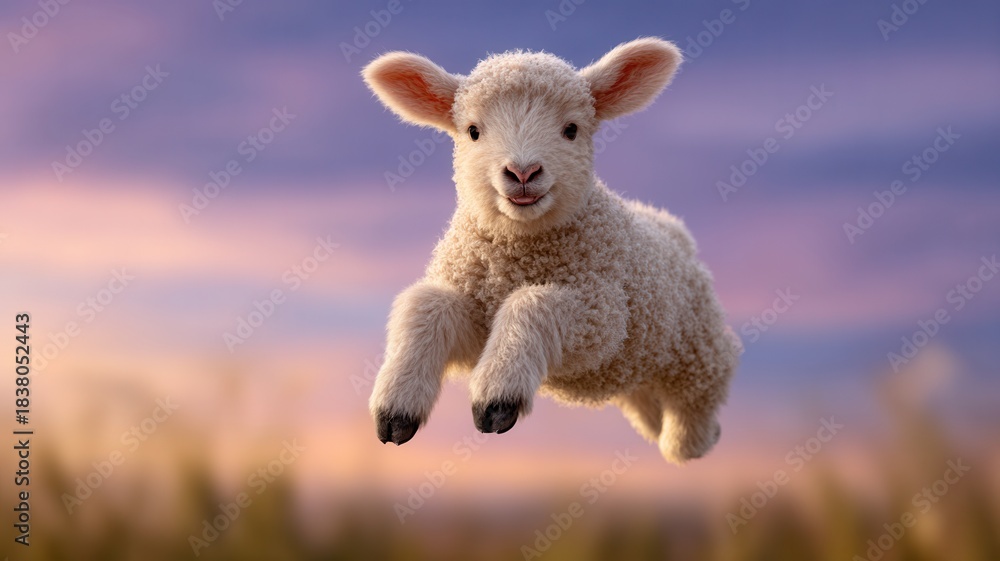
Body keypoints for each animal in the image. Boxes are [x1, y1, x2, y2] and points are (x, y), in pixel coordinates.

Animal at [362, 38, 741, 463]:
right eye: (473, 131)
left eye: (571, 130)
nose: (523, 173)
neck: (519, 250)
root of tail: (670, 225)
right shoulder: (477, 313)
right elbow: (425, 305)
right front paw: (396, 407)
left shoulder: (602, 315)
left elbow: (533, 302)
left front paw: (497, 397)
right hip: (636, 368)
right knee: (648, 404)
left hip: (696, 350)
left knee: (698, 396)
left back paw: (689, 442)